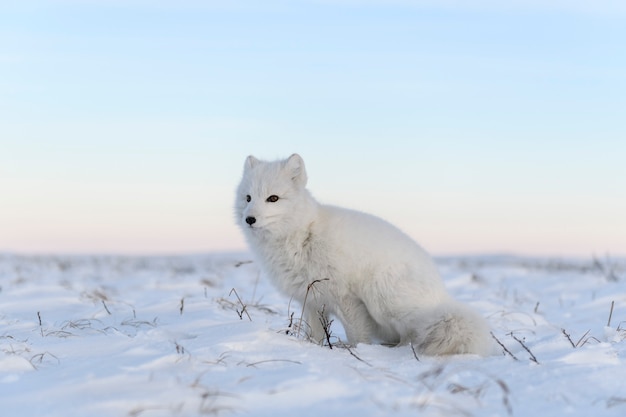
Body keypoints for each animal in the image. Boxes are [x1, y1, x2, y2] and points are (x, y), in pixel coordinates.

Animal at [234, 154, 492, 356]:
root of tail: (442, 294)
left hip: (382, 300)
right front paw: (313, 349)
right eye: (248, 198)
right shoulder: (312, 301)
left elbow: (357, 335)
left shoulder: (345, 298)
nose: (249, 219)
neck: (303, 235)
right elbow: (314, 335)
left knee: (413, 333)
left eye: (273, 198)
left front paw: (357, 352)